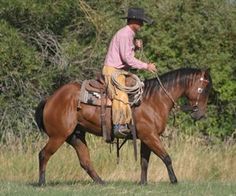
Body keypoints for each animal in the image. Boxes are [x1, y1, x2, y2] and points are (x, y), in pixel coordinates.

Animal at [34, 67, 212, 185]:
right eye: (203, 89)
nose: (199, 114)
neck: (155, 99)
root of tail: (50, 99)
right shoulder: (150, 136)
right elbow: (166, 157)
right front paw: (174, 180)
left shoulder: (147, 137)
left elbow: (144, 162)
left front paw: (143, 183)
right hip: (58, 135)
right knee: (43, 154)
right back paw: (42, 182)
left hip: (75, 136)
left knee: (85, 162)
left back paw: (101, 182)